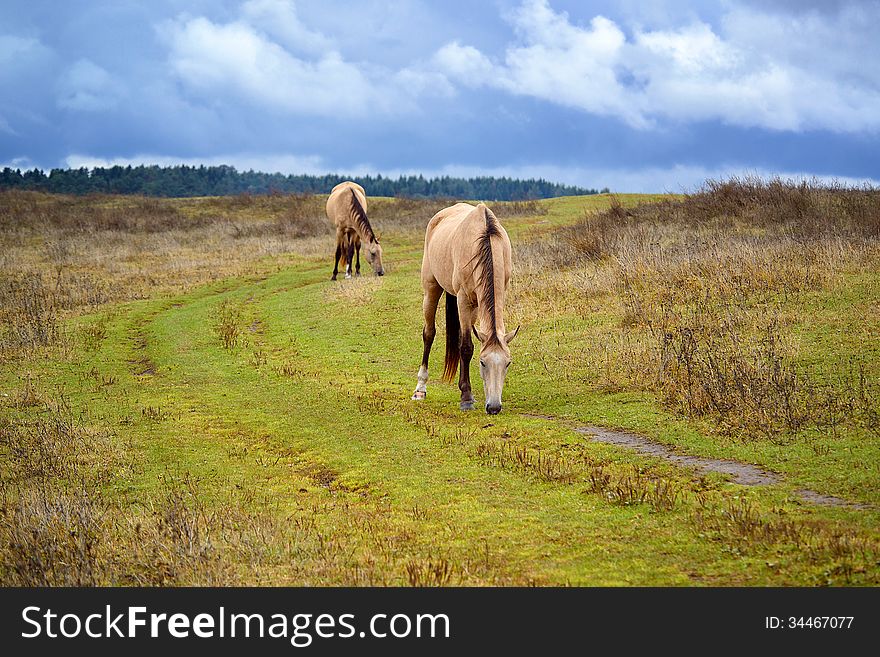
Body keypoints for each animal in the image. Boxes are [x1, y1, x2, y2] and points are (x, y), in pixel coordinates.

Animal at [410, 202, 516, 412]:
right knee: (429, 334)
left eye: (507, 363)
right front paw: (466, 397)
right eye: (483, 363)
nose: (494, 407)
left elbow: (463, 344)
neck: (485, 239)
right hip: (431, 288)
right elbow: (466, 347)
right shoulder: (463, 300)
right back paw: (420, 389)